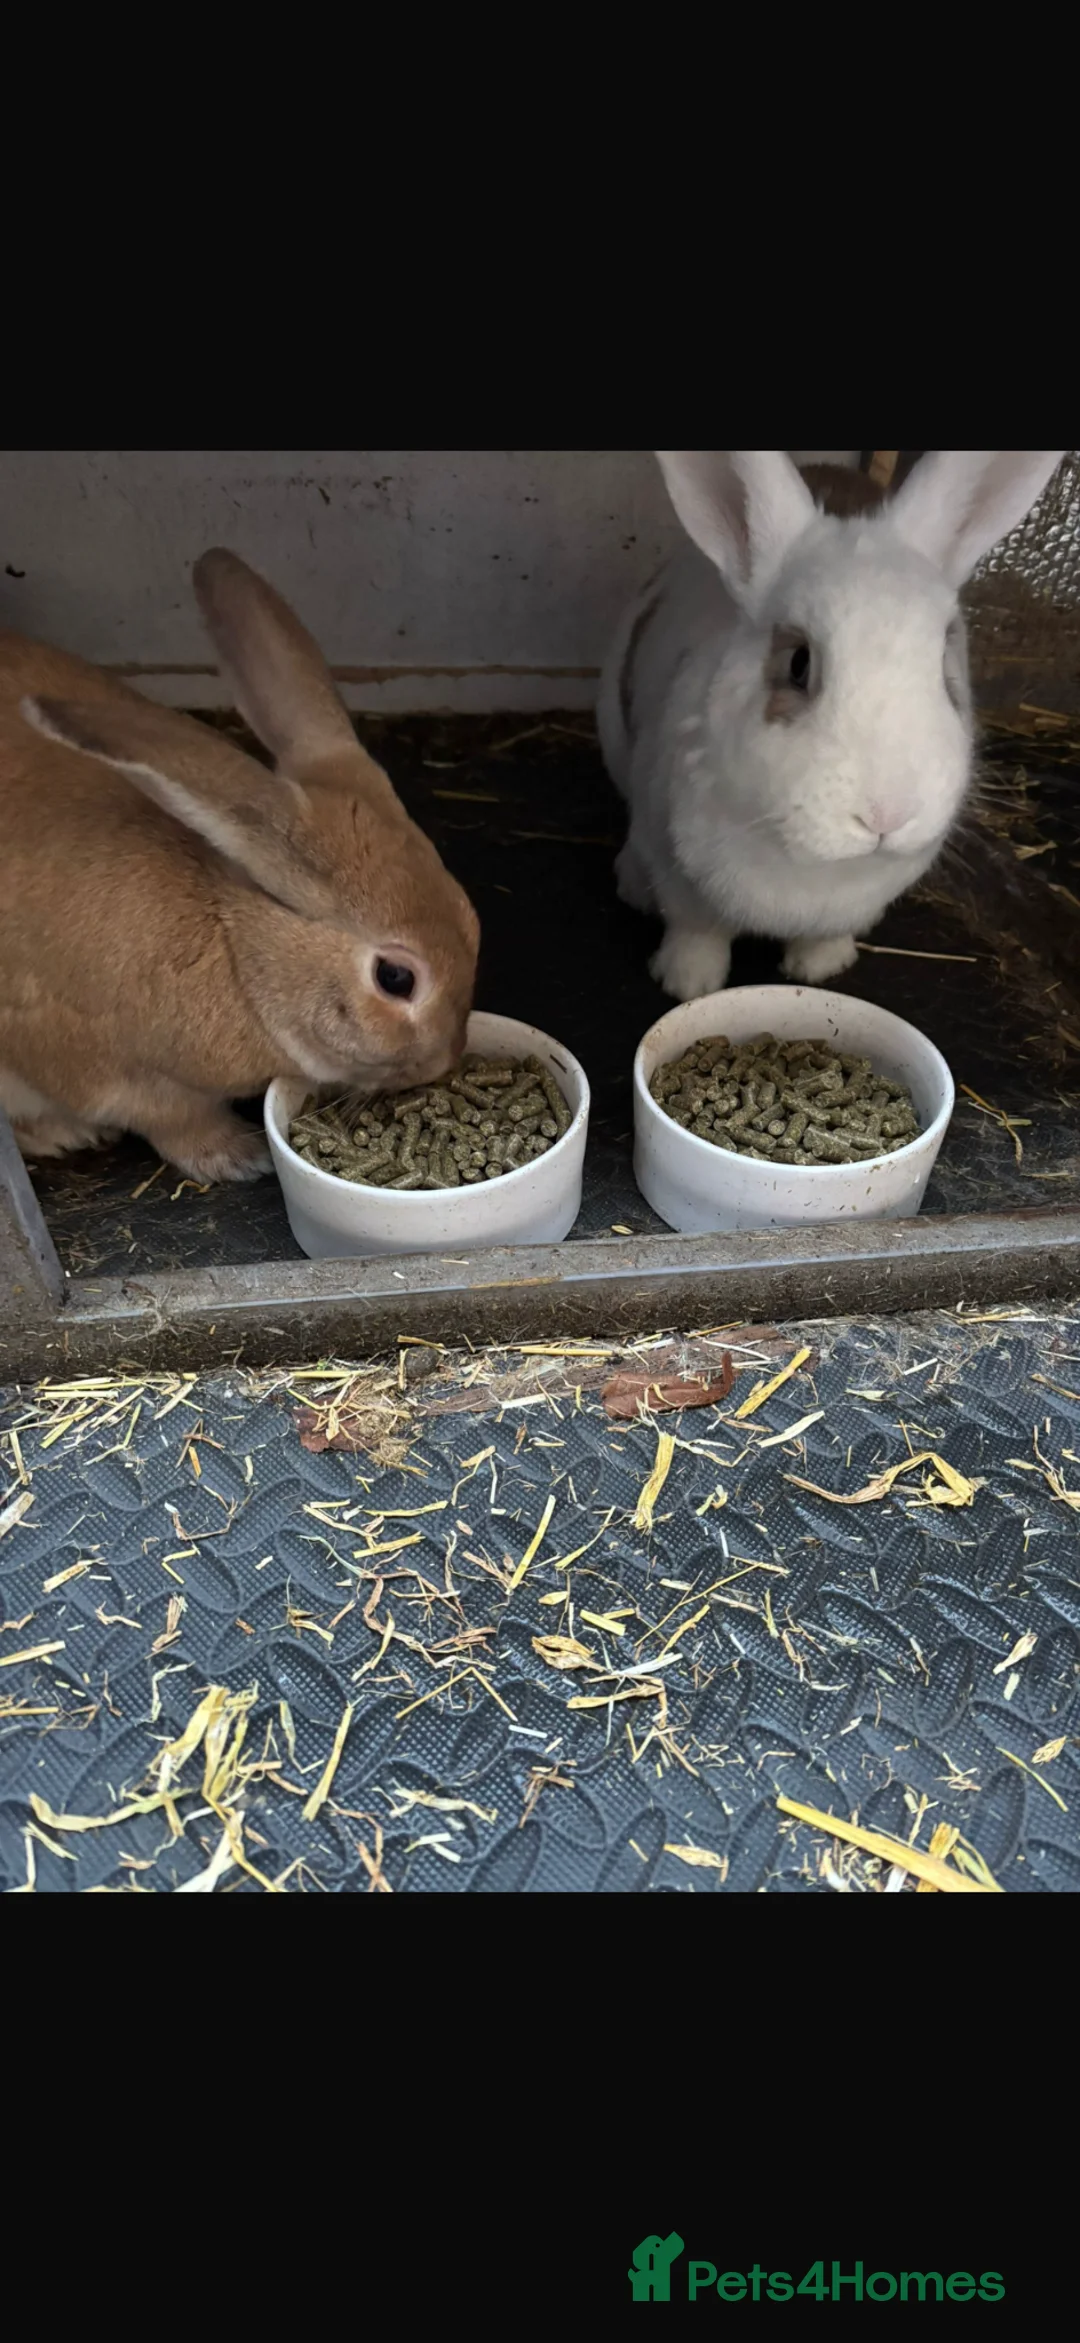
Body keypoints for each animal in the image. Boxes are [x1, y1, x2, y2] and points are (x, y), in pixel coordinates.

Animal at [0, 548, 480, 1183]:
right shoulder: (95, 1063)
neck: (235, 946)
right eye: (396, 979)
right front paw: (239, 1157)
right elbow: (170, 1120)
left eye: (470, 916)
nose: (445, 1058)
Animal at [598, 450, 1066, 1001]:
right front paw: (687, 984)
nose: (887, 816)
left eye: (943, 665)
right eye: (798, 663)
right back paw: (632, 884)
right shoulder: (680, 878)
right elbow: (696, 933)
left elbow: (823, 937)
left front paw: (821, 969)